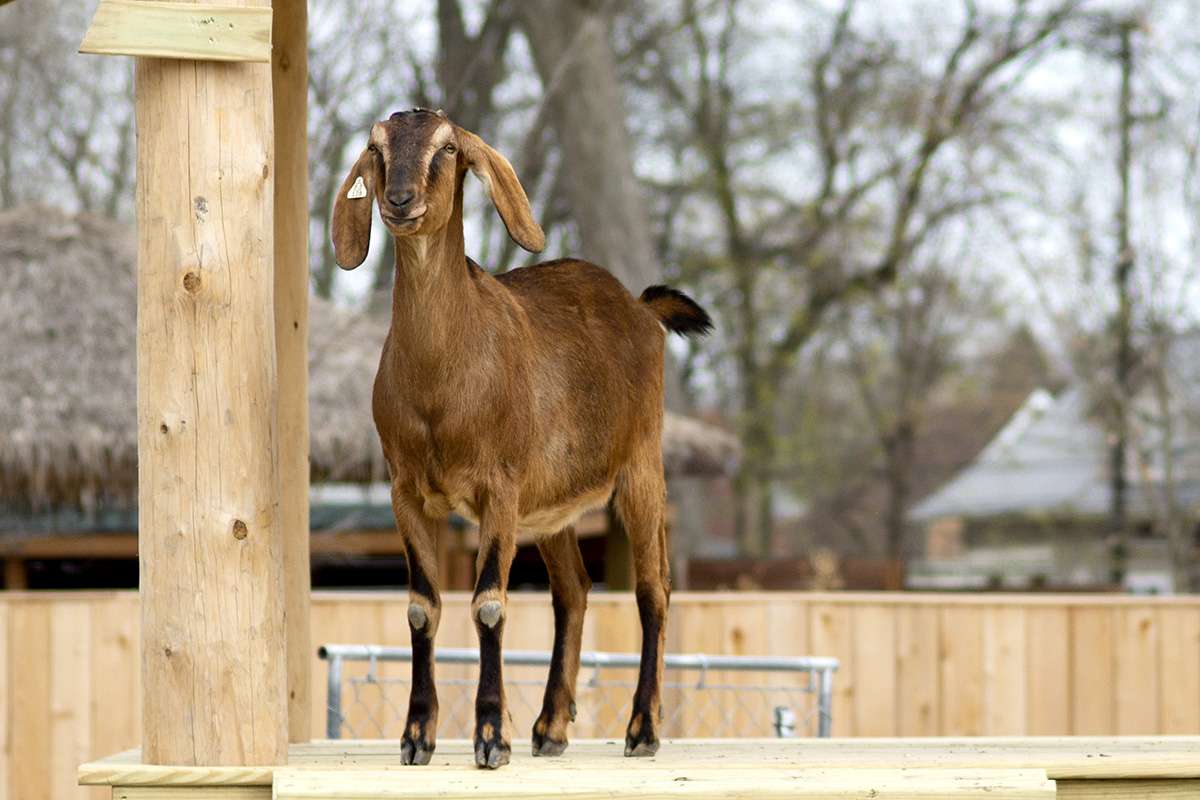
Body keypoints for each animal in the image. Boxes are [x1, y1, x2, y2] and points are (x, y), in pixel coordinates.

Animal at [331, 108, 711, 769]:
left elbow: (488, 603)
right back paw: (551, 727)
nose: (399, 200)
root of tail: (641, 306)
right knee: (574, 592)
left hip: (642, 464)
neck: (442, 385)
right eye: (376, 148)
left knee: (652, 589)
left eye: (448, 147)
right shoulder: (407, 491)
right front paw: (417, 736)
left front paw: (490, 737)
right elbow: (421, 608)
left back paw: (642, 728)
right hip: (552, 506)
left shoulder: (499, 489)